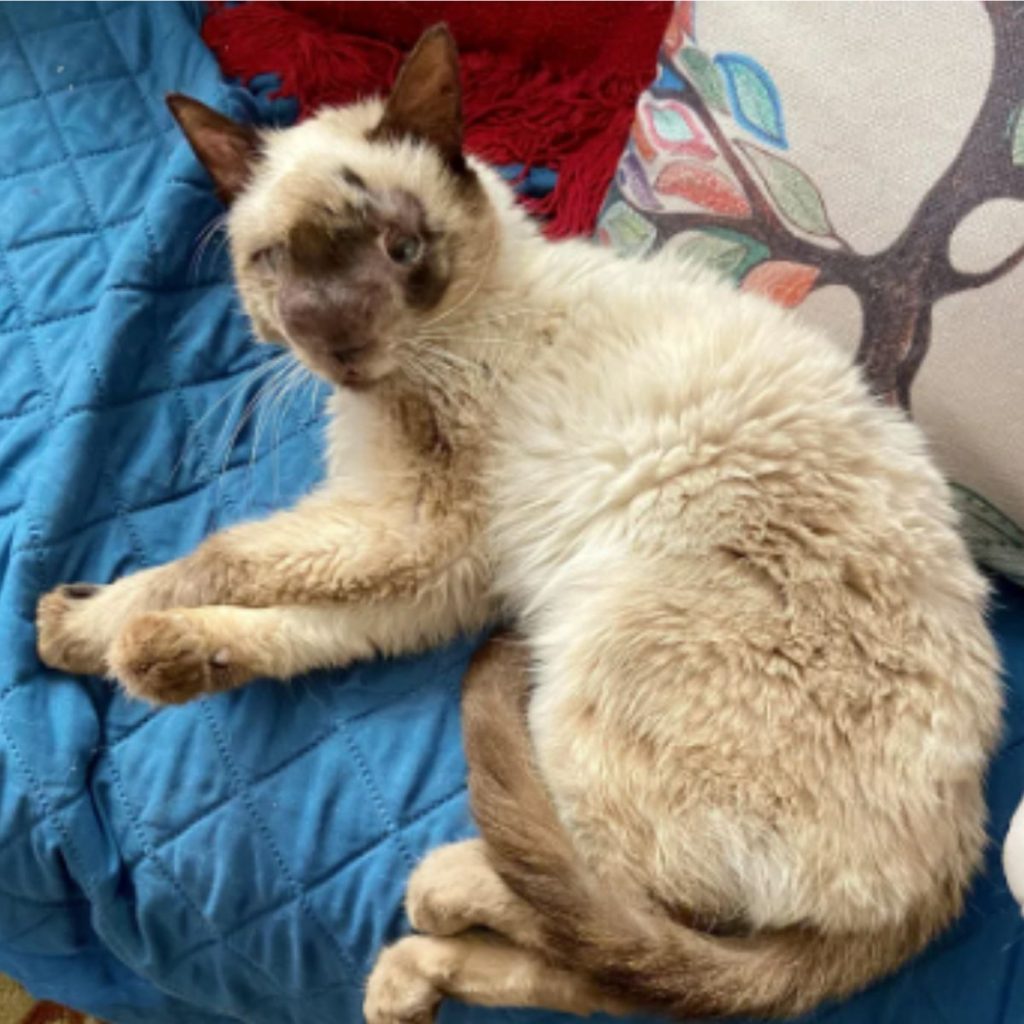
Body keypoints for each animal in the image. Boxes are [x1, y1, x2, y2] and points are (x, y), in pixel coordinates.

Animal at [37, 24, 999, 1024]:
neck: (392, 389)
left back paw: (442, 891)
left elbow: (219, 557)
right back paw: (407, 979)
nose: (334, 343)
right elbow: (306, 627)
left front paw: (88, 627)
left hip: (602, 647)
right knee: (619, 971)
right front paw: (157, 655)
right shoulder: (439, 574)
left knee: (610, 903)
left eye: (401, 248)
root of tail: (950, 870)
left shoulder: (415, 528)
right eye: (280, 265)